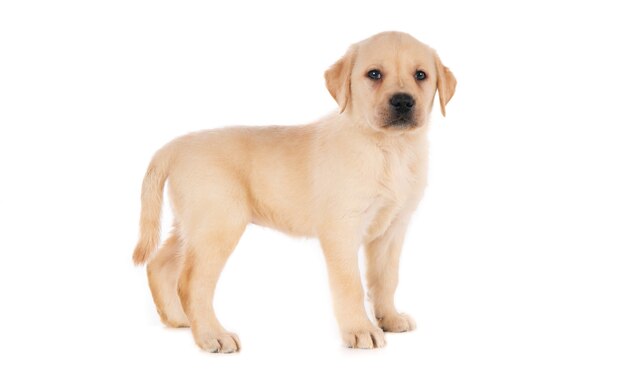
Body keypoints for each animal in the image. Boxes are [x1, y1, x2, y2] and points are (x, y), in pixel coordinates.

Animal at [133, 31, 454, 354]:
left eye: (421, 75)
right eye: (374, 74)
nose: (402, 101)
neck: (390, 149)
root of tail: (173, 147)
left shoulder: (392, 229)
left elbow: (386, 278)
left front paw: (390, 318)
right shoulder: (342, 229)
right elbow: (351, 284)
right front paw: (360, 330)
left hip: (193, 225)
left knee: (160, 265)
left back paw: (178, 318)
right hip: (218, 225)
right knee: (190, 283)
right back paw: (213, 335)